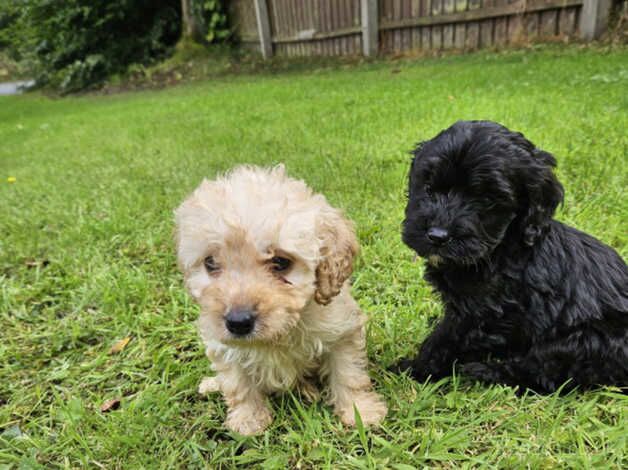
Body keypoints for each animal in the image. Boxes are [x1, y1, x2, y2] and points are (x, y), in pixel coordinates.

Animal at [394, 120, 624, 392]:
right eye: (428, 188)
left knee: (541, 373)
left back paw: (487, 372)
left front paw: (413, 369)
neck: (500, 249)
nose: (437, 236)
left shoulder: (481, 314)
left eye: (486, 199)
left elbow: (444, 341)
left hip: (583, 341)